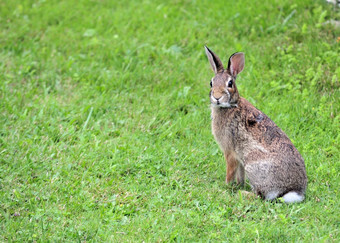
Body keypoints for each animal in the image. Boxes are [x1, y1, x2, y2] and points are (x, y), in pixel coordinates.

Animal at [205, 46, 308, 203]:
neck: (230, 106)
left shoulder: (230, 152)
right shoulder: (239, 158)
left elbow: (230, 171)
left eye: (230, 84)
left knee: (261, 196)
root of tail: (292, 190)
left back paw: (243, 194)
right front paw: (239, 185)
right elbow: (239, 175)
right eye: (211, 83)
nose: (217, 97)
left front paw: (226, 187)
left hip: (253, 163)